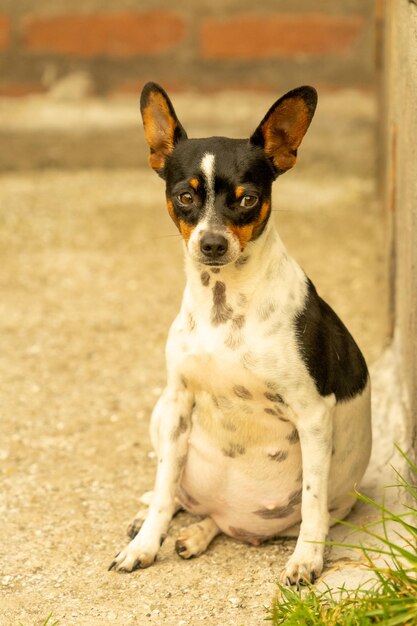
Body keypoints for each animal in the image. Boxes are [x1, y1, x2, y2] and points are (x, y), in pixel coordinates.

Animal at [108, 80, 370, 584]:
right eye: (185, 197)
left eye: (247, 199)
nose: (212, 244)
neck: (223, 307)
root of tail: (232, 516)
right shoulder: (178, 402)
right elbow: (166, 486)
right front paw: (146, 545)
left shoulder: (313, 414)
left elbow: (312, 503)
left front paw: (307, 561)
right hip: (160, 414)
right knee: (180, 495)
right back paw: (169, 522)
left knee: (239, 518)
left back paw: (198, 534)